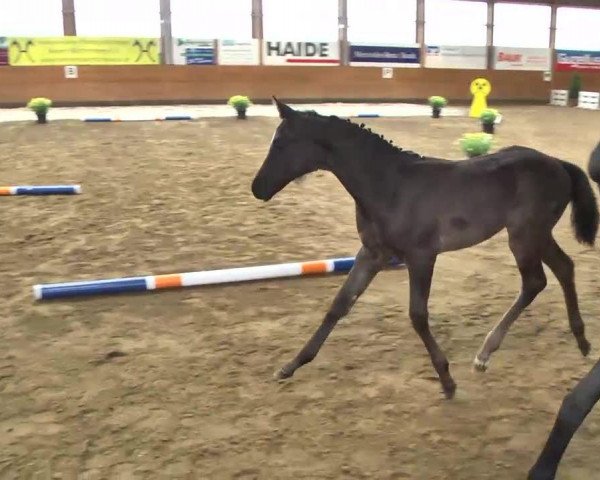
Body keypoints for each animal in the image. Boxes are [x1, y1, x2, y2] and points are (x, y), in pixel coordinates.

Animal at [250, 97, 596, 398]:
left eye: (280, 143)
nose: (257, 188)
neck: (390, 186)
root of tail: (558, 164)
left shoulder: (421, 257)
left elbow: (417, 315)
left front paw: (447, 380)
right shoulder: (372, 254)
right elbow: (340, 304)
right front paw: (291, 365)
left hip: (524, 236)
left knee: (535, 281)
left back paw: (485, 354)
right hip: (537, 235)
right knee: (564, 267)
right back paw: (581, 340)